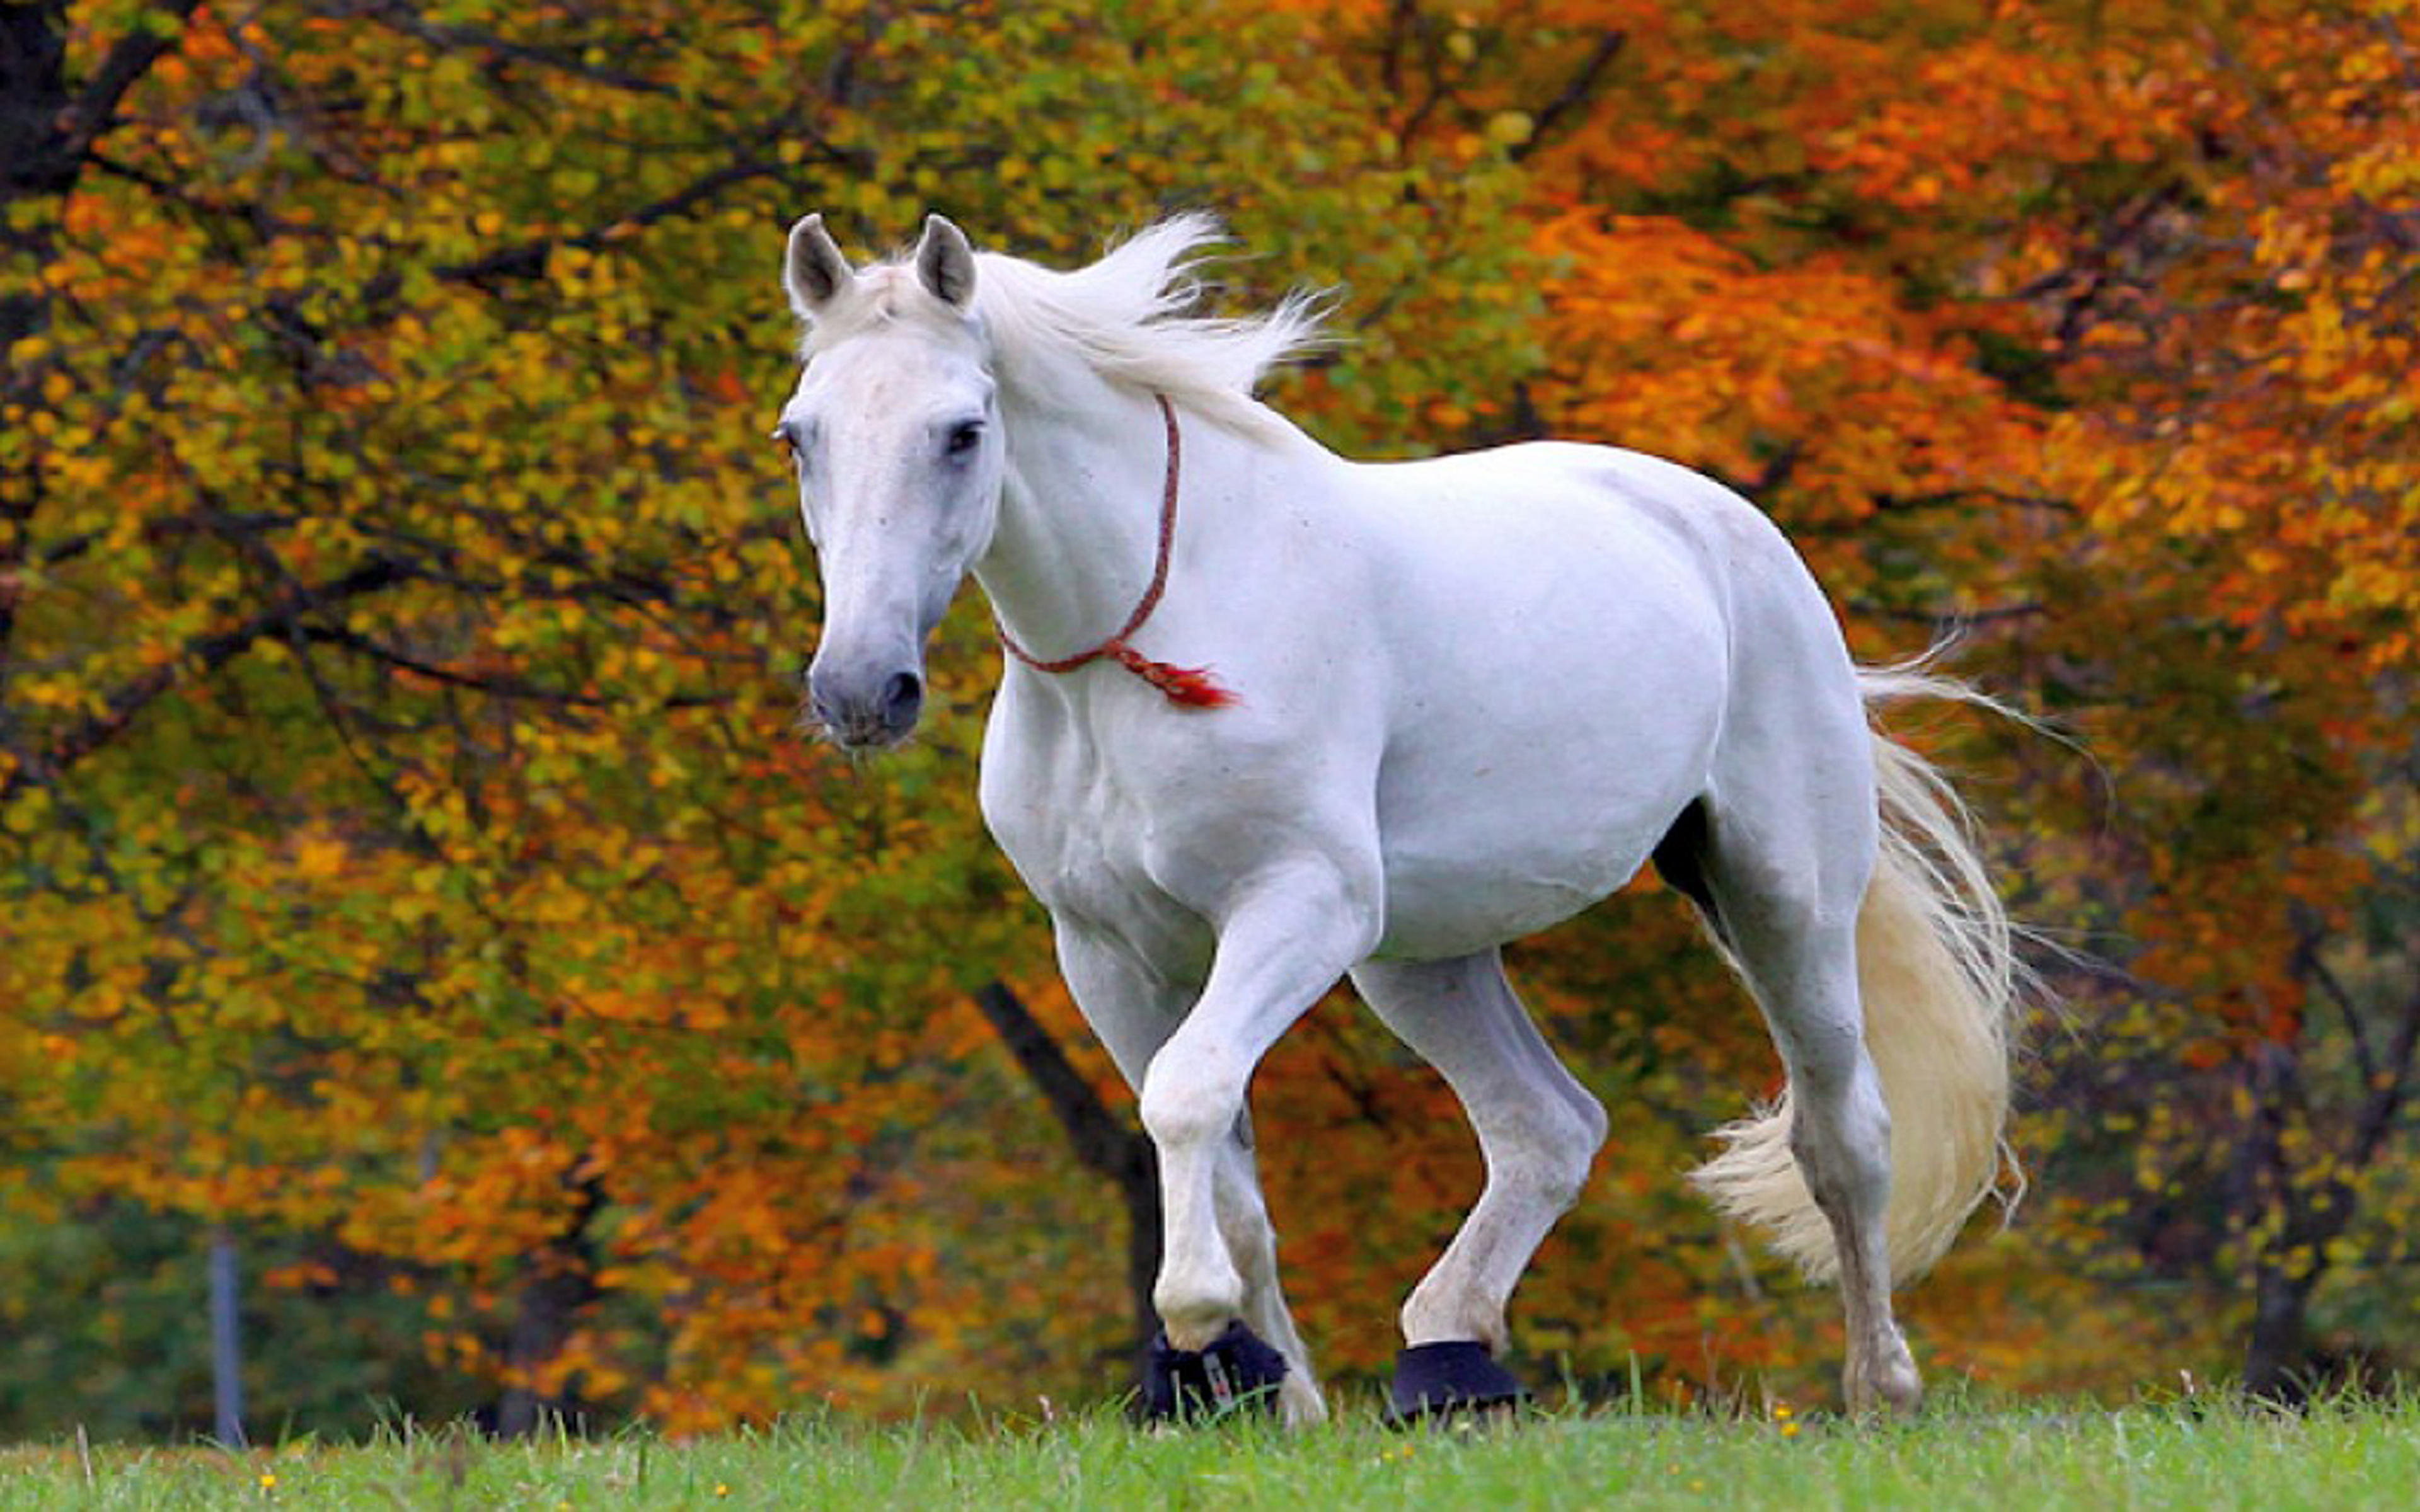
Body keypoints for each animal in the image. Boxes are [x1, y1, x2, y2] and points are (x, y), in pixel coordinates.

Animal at [779, 215, 2023, 1422]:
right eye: (801, 435)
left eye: (962, 432)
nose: (860, 691)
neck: (1147, 636)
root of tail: (1728, 529)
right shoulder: (1107, 952)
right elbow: (1227, 1166)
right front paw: (1272, 1395)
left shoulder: (1298, 907)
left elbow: (1187, 1093)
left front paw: (1196, 1321)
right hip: (1424, 958)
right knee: (1545, 1130)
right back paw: (1447, 1364)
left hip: (1778, 902)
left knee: (1842, 1134)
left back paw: (1879, 1390)